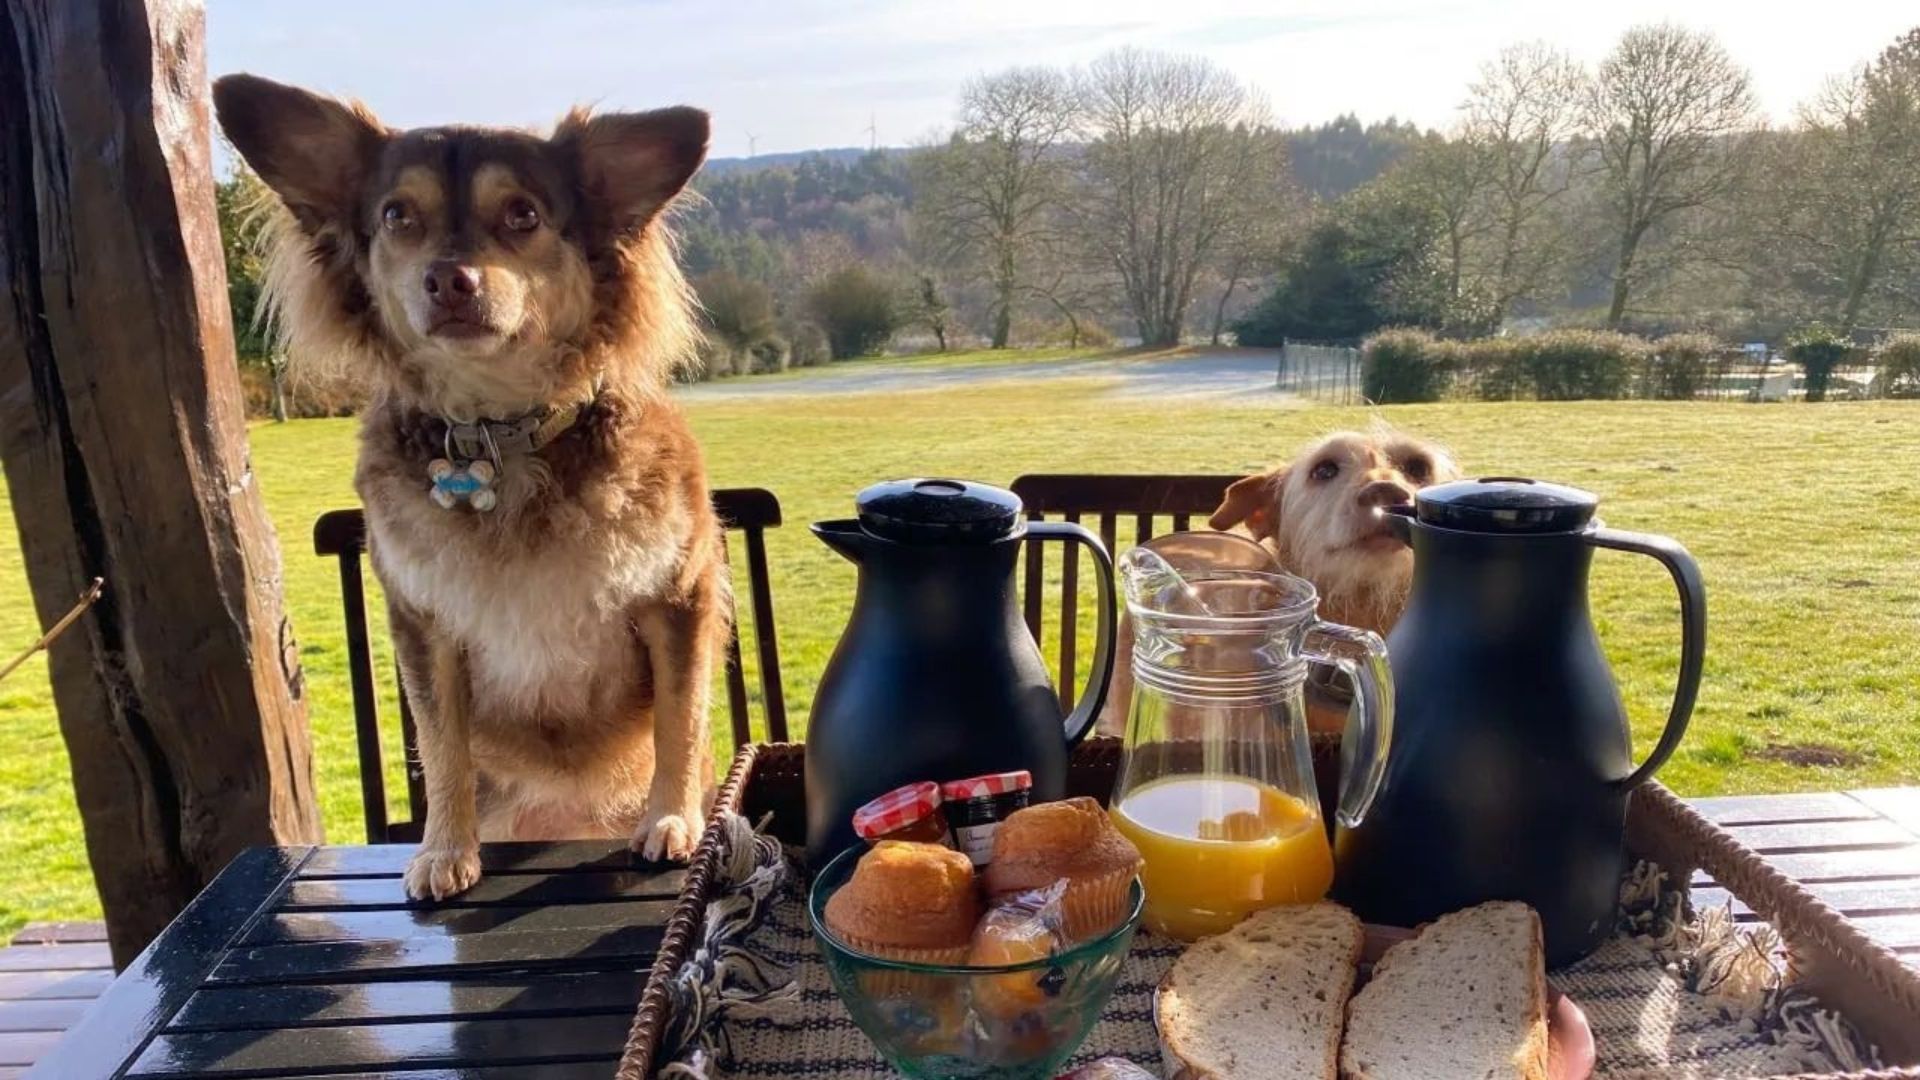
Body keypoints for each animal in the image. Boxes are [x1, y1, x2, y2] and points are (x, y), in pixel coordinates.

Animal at [216, 75, 725, 895]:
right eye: (398, 215)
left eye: (522, 214)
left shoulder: (678, 596)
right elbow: (441, 743)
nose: (450, 277)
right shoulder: (424, 625)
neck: (497, 431)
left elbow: (681, 717)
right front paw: (445, 851)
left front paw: (674, 822)